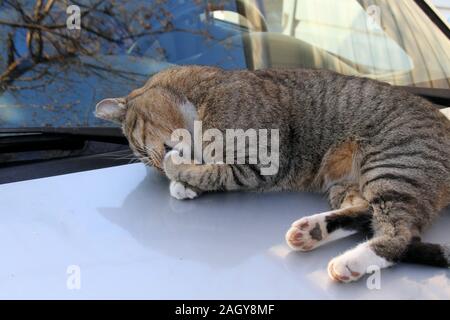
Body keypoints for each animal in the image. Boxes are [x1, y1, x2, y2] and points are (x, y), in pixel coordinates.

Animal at [96, 65, 450, 282]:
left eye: (145, 151)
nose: (156, 164)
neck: (202, 97)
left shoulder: (262, 162)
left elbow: (216, 172)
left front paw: (176, 172)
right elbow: (211, 170)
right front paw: (182, 183)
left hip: (394, 166)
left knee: (401, 235)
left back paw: (350, 262)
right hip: (349, 184)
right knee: (365, 213)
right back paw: (312, 231)